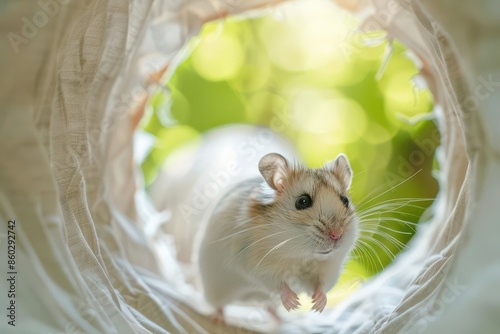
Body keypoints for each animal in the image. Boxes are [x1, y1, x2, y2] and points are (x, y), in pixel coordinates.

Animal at [197, 153, 358, 320]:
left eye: (345, 201)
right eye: (303, 201)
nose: (336, 234)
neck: (302, 256)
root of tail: (245, 302)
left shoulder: (329, 269)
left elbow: (321, 285)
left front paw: (317, 306)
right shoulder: (258, 265)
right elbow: (279, 284)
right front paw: (294, 303)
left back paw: (279, 319)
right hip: (215, 289)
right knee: (218, 304)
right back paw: (218, 318)